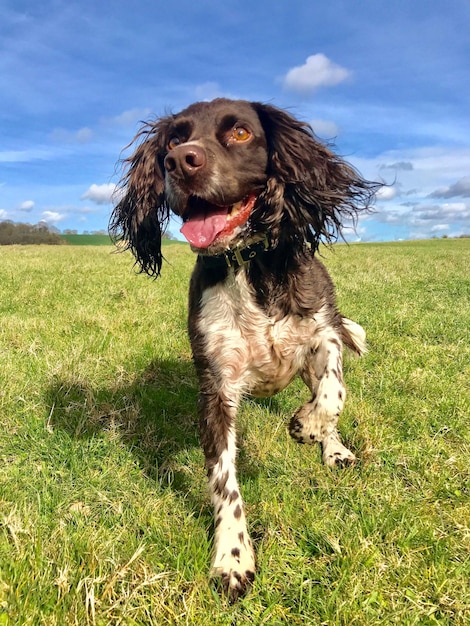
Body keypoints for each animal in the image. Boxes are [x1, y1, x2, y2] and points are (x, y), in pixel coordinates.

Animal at [110, 98, 378, 600]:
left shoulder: (324, 330)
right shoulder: (216, 386)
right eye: (175, 139)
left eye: (239, 133)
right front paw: (233, 557)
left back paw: (332, 448)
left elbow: (333, 392)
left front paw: (309, 426)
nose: (181, 161)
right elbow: (224, 482)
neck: (246, 267)